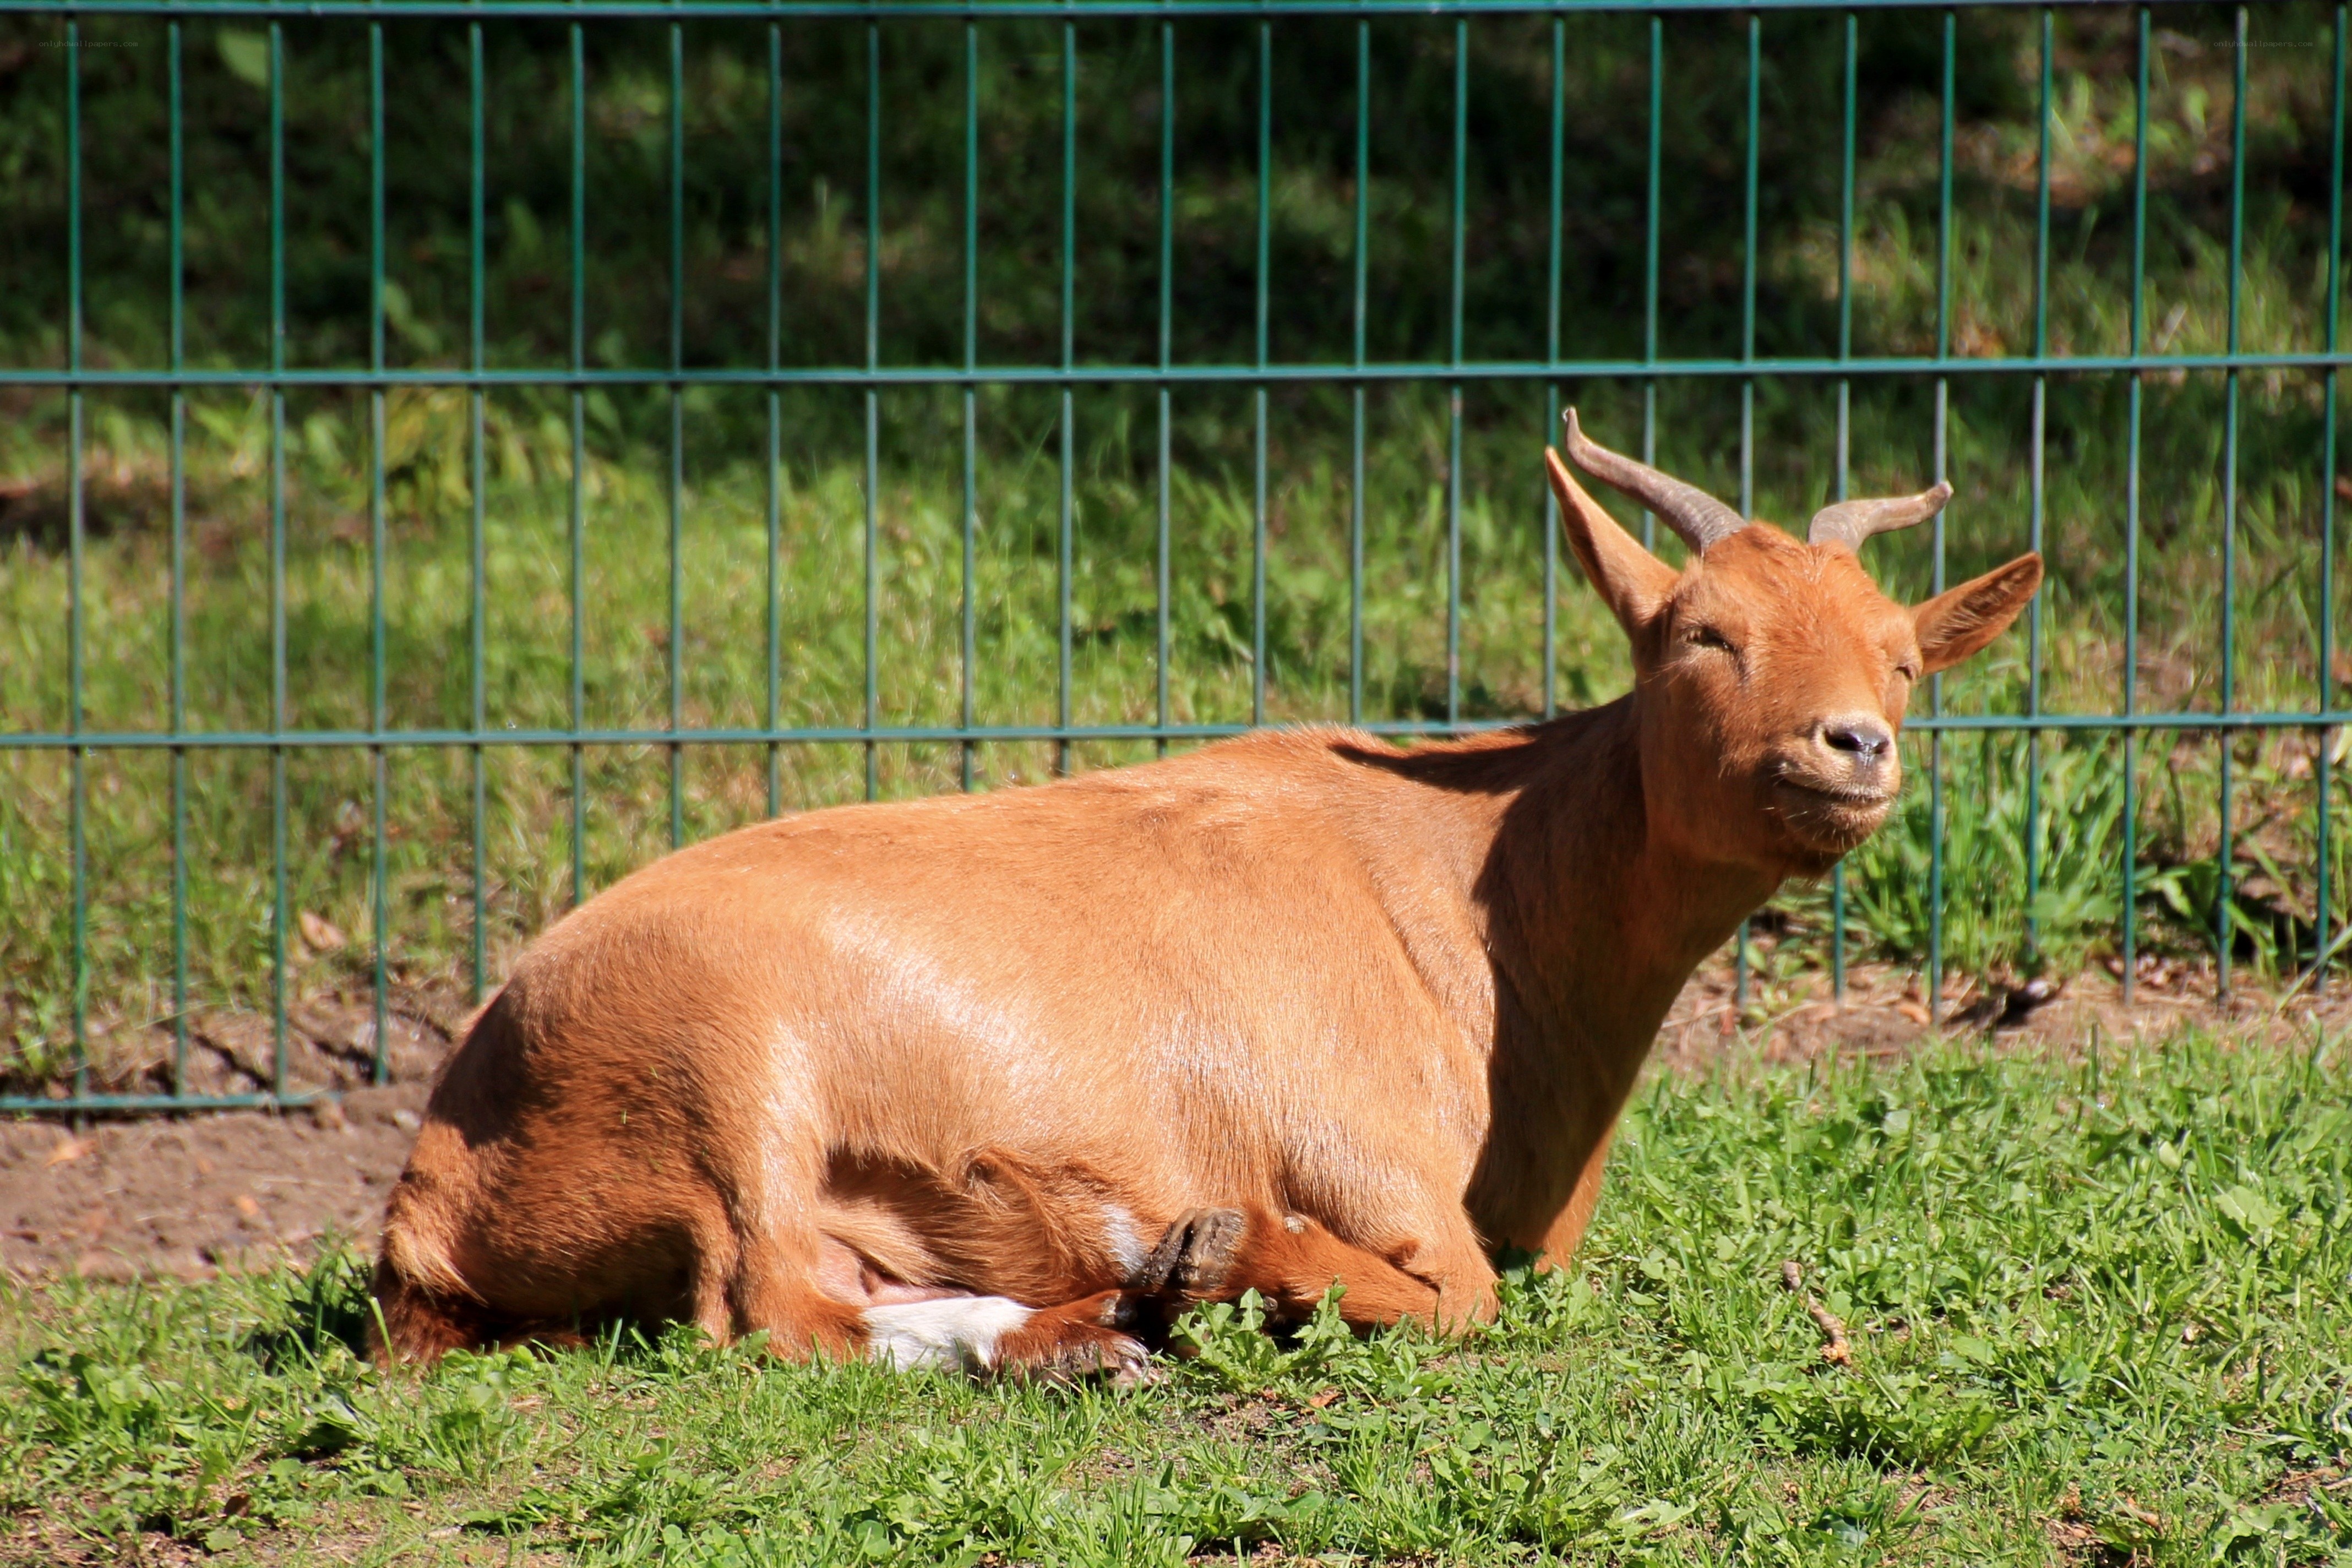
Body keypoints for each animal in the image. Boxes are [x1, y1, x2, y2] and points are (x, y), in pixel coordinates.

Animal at [371, 413, 2042, 1380]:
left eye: (1905, 653)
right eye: (1699, 632)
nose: (1853, 744)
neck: (1480, 895)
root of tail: (435, 1178)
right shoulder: (1371, 1157)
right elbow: (1458, 1296)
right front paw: (1227, 1261)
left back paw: (1082, 1330)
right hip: (723, 1070)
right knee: (769, 1309)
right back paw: (1107, 1320)